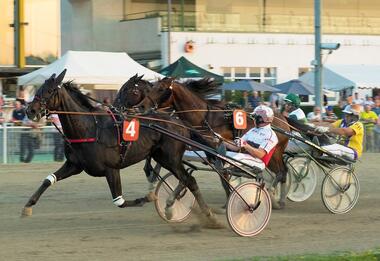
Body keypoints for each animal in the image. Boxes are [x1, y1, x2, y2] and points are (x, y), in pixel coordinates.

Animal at [134, 76, 290, 207]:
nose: (141, 106)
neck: (204, 118)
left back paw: (274, 196)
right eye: (152, 87)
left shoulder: (213, 151)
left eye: (160, 89)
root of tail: (283, 119)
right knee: (282, 172)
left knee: (282, 171)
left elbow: (222, 175)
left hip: (274, 154)